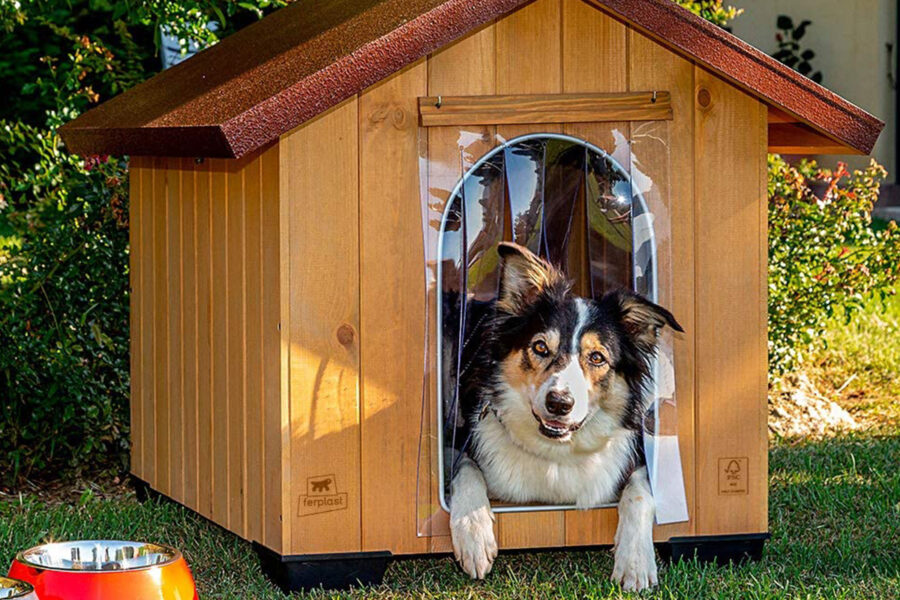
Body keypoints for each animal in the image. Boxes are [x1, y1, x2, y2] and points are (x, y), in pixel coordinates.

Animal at [450, 240, 684, 592]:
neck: (556, 451)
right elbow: (464, 469)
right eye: (540, 347)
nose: (559, 403)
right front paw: (473, 532)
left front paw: (635, 561)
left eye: (597, 357)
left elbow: (640, 492)